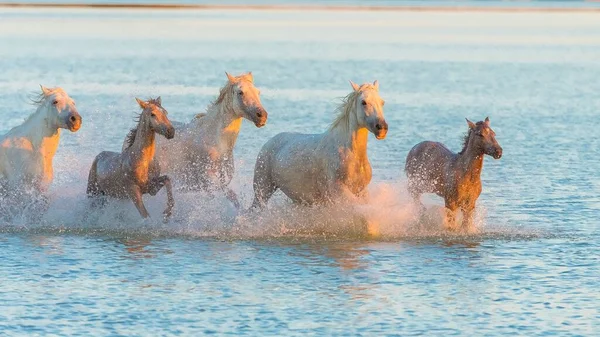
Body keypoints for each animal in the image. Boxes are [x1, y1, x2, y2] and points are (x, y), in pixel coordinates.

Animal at [124, 72, 268, 206]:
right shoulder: (207, 179)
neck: (216, 140)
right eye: (240, 92)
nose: (262, 116)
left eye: (258, 92)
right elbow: (229, 195)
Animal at [253, 80, 390, 207]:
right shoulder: (339, 190)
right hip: (262, 189)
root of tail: (269, 142)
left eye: (382, 102)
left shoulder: (361, 191)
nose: (382, 128)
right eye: (363, 102)